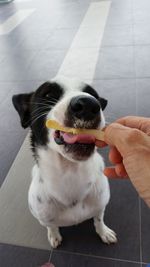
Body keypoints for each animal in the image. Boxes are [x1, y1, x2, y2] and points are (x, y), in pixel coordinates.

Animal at [12, 76, 117, 249]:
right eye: (48, 94)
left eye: (92, 94)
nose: (88, 104)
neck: (70, 174)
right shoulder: (44, 216)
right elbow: (51, 225)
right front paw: (54, 235)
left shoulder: (100, 206)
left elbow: (99, 219)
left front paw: (104, 232)